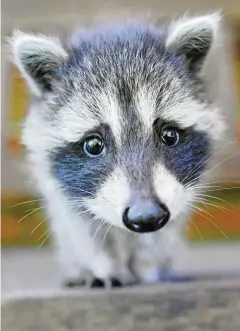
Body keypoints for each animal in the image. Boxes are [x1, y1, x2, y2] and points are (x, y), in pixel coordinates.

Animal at [9, 13, 226, 288]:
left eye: (169, 135)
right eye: (93, 145)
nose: (147, 216)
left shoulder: (183, 189)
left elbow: (164, 231)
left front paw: (148, 264)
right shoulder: (62, 191)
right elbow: (84, 229)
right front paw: (105, 266)